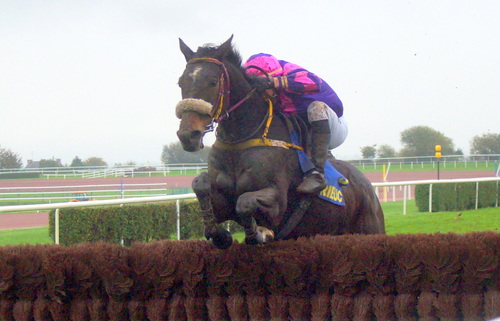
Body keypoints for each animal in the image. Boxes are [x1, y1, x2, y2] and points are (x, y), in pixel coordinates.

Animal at [174, 36, 384, 249]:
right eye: (180, 82)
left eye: (213, 82)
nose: (188, 135)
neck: (240, 140)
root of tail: (367, 185)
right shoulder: (222, 201)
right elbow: (200, 185)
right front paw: (220, 235)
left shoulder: (277, 202)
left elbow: (245, 202)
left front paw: (259, 233)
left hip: (370, 228)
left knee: (317, 107)